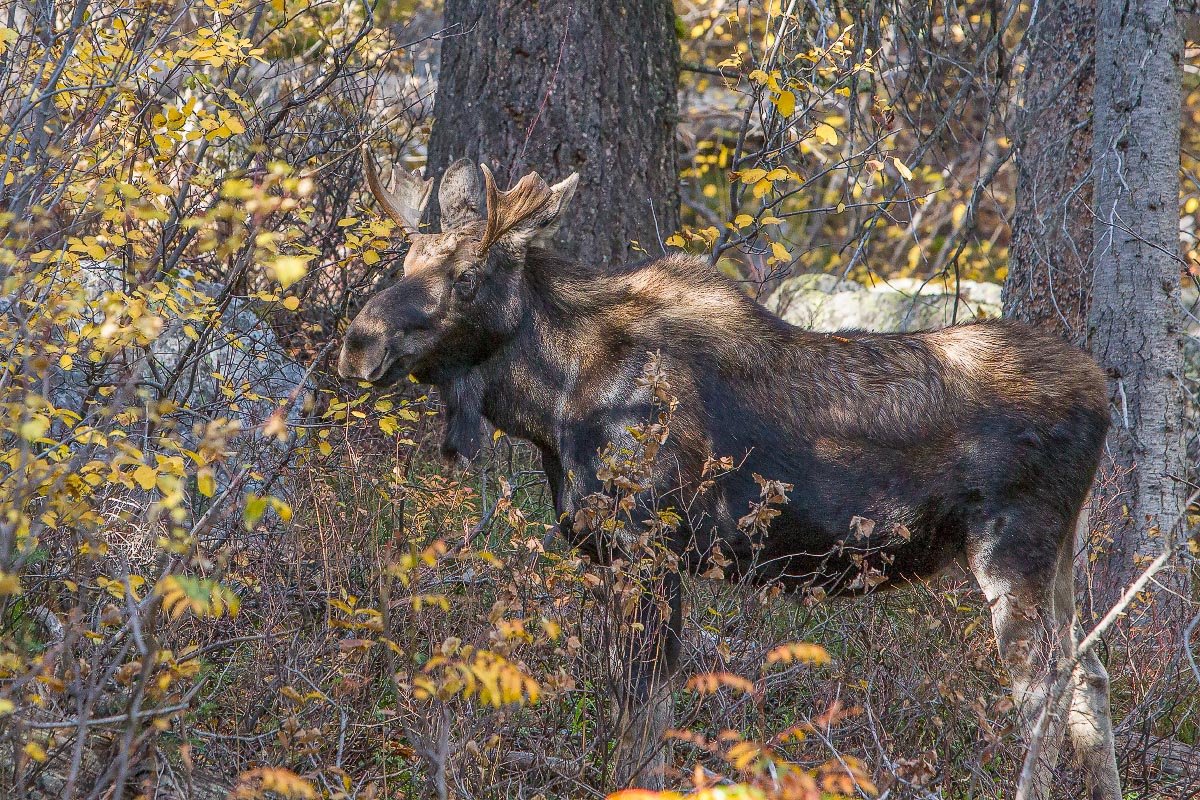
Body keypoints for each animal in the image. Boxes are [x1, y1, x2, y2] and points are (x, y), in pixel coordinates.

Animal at [338, 151, 1123, 800]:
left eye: (467, 278)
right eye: (405, 260)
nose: (359, 342)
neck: (551, 402)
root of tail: (1102, 394)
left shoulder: (647, 545)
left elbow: (643, 710)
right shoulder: (616, 553)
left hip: (1011, 547)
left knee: (1047, 689)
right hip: (1062, 553)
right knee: (1091, 674)